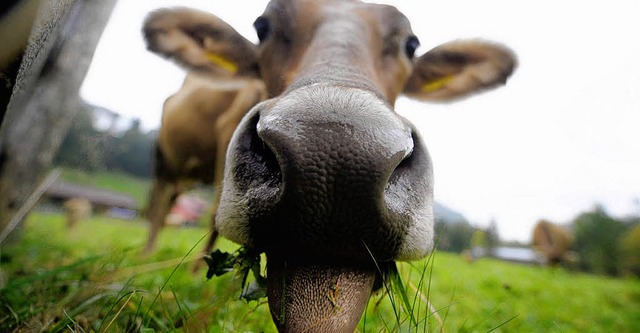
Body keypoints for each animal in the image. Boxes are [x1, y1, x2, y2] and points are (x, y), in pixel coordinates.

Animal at [141, 18, 266, 253]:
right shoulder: (229, 130)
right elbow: (220, 212)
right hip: (163, 157)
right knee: (158, 204)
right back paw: (147, 253)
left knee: (170, 201)